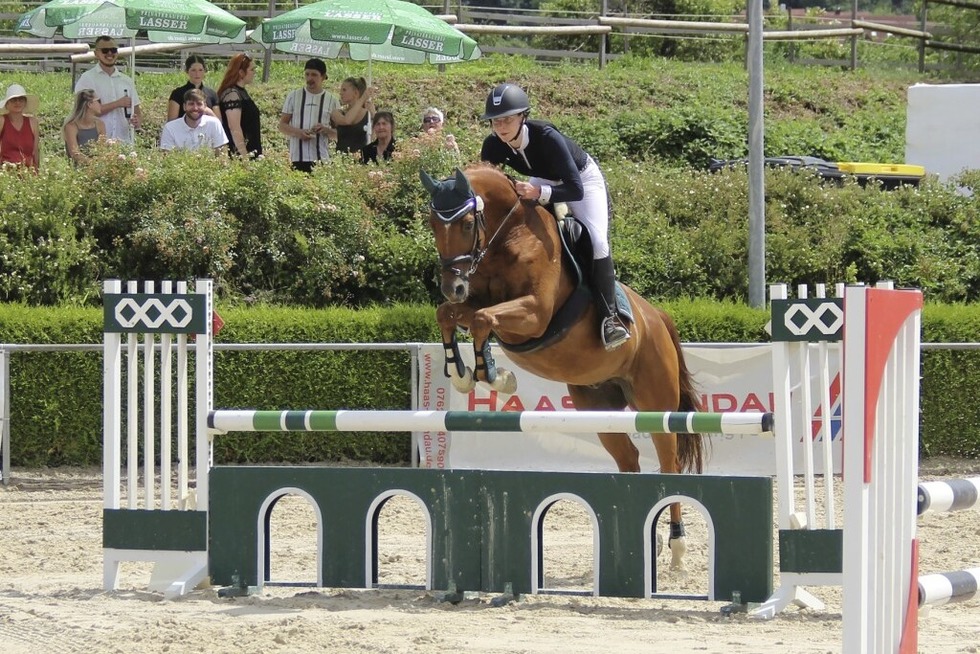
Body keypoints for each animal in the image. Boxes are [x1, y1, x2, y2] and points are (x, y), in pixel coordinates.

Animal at [422, 165, 704, 576]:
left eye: (468, 222)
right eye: (432, 224)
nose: (452, 285)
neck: (509, 236)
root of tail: (658, 318)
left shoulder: (534, 315)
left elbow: (481, 318)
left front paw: (494, 375)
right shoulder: (477, 304)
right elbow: (453, 315)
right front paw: (465, 373)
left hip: (655, 403)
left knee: (669, 465)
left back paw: (678, 547)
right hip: (599, 408)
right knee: (628, 459)